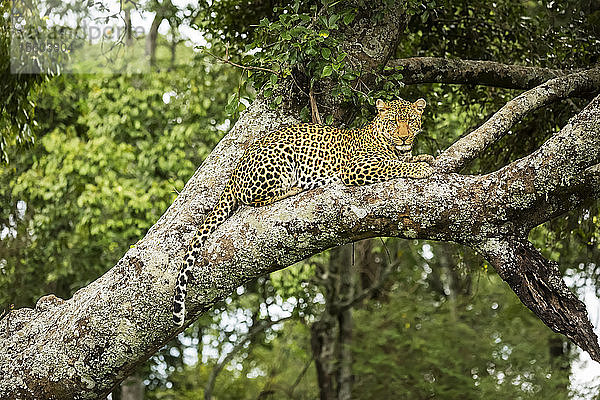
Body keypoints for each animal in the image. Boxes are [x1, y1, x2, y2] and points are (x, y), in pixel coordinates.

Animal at [171, 98, 434, 326]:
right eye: (393, 122)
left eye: (411, 120)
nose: (404, 137)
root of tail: (234, 172)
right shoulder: (356, 168)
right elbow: (393, 165)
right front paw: (420, 168)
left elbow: (404, 159)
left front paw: (423, 157)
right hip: (277, 159)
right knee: (252, 197)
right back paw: (294, 188)